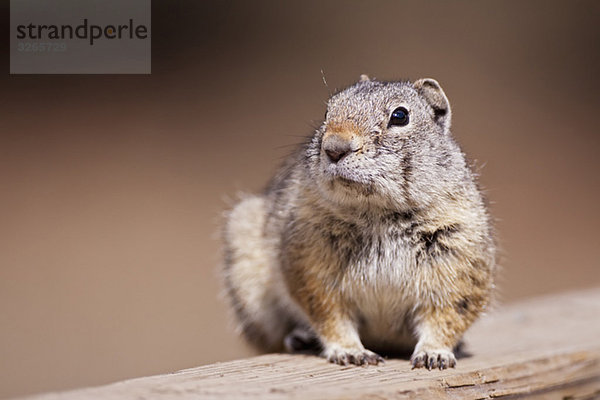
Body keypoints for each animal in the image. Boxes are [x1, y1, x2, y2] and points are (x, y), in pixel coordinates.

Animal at [223, 76, 494, 370]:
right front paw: (350, 351)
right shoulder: (311, 267)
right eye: (327, 112)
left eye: (400, 116)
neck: (377, 212)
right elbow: (330, 316)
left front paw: (434, 354)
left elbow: (448, 316)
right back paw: (300, 338)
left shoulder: (460, 263)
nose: (334, 147)